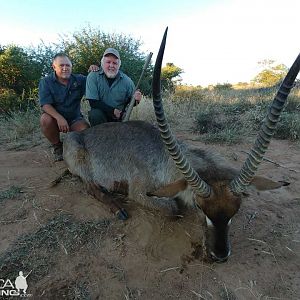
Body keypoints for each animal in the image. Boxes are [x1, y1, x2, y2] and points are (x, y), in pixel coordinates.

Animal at [62, 28, 298, 262]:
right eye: (200, 207)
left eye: (236, 210)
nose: (220, 255)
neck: (161, 155)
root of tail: (76, 135)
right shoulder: (140, 192)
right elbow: (174, 209)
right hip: (81, 165)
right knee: (90, 186)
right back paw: (117, 204)